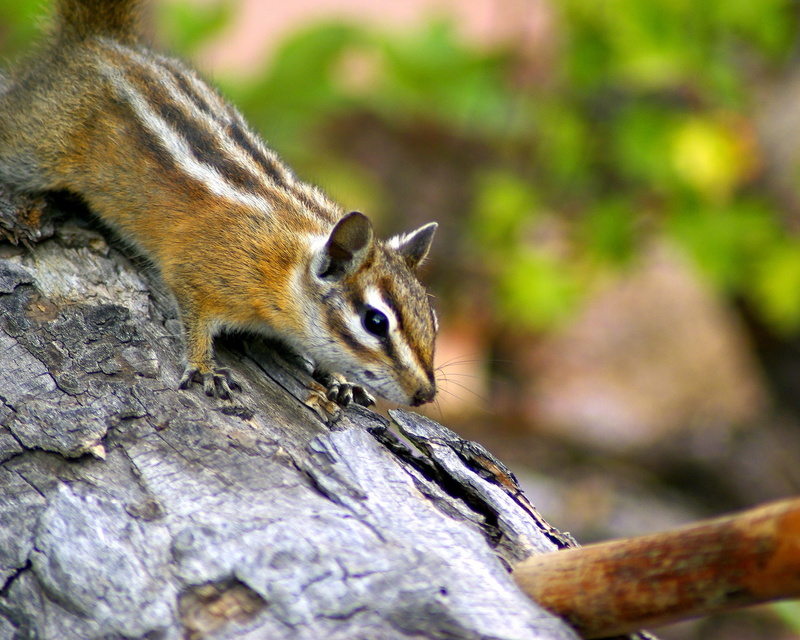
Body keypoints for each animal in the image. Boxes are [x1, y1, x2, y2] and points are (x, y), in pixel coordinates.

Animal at [0, 0, 439, 408]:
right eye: (375, 322)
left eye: (432, 320)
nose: (426, 394)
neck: (286, 263)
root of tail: (101, 40)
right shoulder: (198, 273)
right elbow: (194, 319)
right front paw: (203, 366)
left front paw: (340, 378)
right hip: (33, 145)